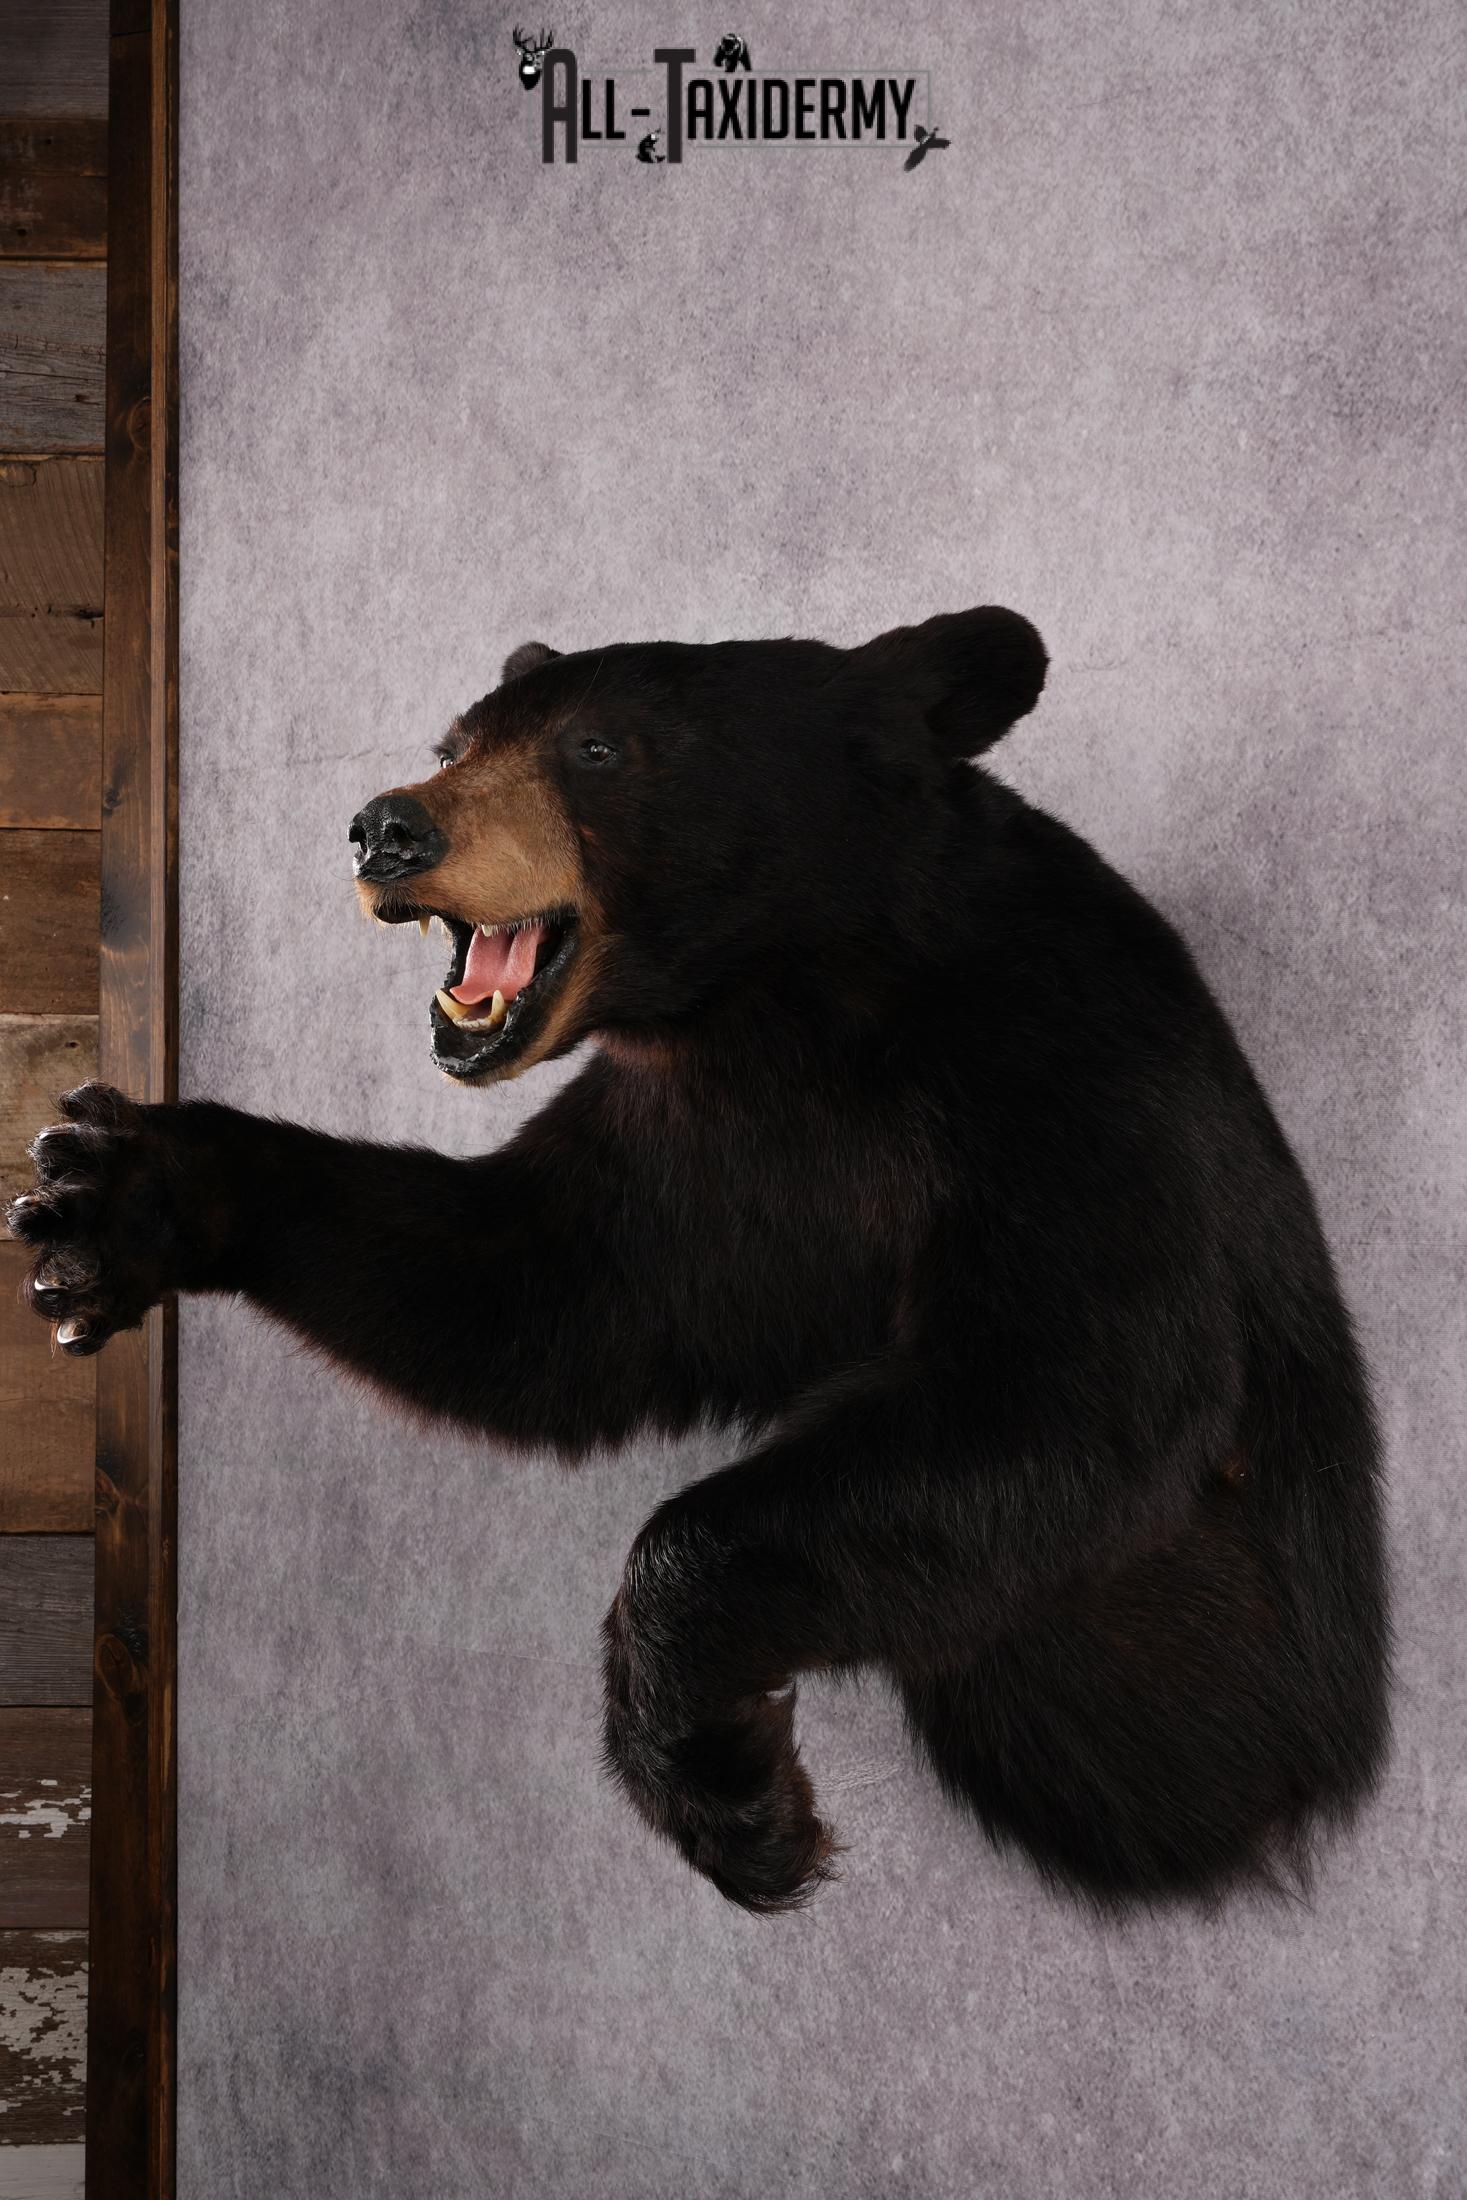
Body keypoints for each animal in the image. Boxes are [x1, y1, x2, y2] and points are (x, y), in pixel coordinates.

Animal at [9, 606, 1390, 1915]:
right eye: (457, 741)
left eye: (596, 748)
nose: (384, 829)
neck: (784, 1002)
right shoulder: (685, 1150)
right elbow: (531, 1302)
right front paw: (110, 1196)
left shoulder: (1055, 1073)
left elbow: (1083, 1391)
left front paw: (731, 1784)